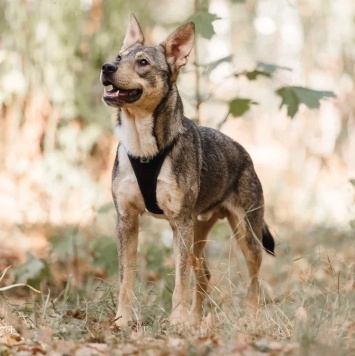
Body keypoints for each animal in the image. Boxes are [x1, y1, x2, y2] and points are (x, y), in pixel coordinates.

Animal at [100, 14, 276, 328]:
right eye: (119, 57)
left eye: (143, 62)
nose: (106, 67)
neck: (144, 147)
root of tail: (245, 154)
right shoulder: (126, 220)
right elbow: (126, 278)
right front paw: (122, 320)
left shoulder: (179, 222)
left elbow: (180, 281)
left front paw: (177, 322)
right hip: (197, 233)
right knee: (204, 276)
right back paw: (196, 321)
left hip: (245, 234)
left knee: (254, 280)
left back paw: (251, 320)